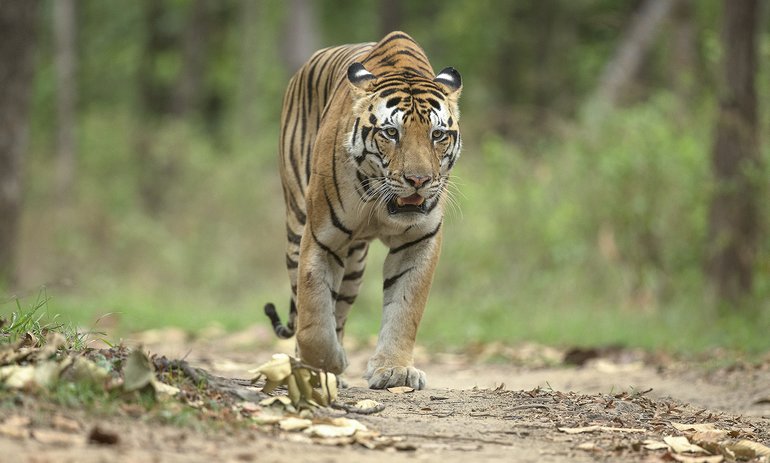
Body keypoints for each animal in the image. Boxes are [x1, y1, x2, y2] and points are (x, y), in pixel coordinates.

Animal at [264, 30, 460, 390]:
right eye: (391, 133)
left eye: (437, 134)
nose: (419, 180)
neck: (380, 204)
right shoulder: (321, 238)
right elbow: (313, 315)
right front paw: (327, 362)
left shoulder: (419, 241)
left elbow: (405, 308)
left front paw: (395, 369)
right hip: (296, 229)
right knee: (304, 304)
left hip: (354, 264)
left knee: (339, 310)